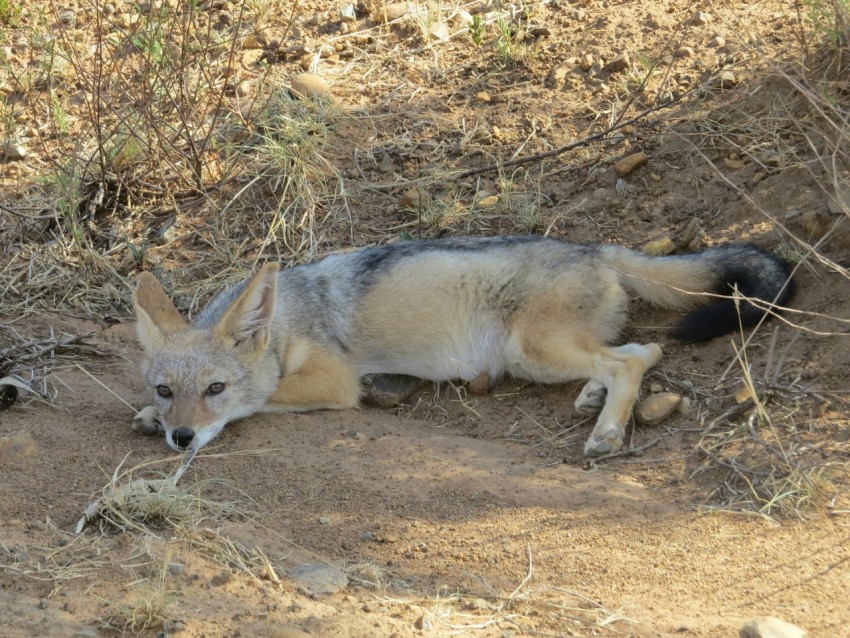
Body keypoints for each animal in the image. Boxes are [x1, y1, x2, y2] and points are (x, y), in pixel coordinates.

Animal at [132, 238, 796, 458]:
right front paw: (144, 417)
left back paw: (607, 432)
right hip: (550, 355)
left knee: (633, 357)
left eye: (215, 389)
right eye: (165, 389)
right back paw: (592, 400)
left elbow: (261, 396)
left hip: (533, 352)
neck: (290, 318)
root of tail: (595, 247)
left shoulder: (335, 382)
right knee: (641, 351)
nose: (181, 439)